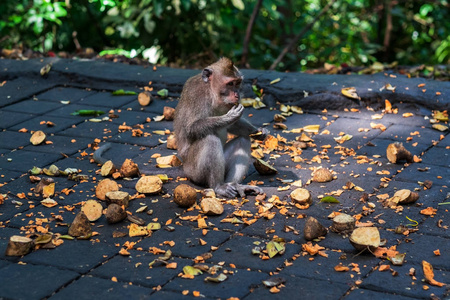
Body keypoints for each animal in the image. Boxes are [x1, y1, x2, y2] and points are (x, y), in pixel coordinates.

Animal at [174, 57, 268, 198]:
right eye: (230, 84)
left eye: (237, 83)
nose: (237, 94)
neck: (211, 93)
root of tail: (184, 167)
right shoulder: (196, 95)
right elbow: (191, 128)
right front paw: (228, 117)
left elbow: (234, 126)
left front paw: (259, 132)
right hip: (194, 171)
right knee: (210, 139)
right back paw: (218, 186)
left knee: (243, 140)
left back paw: (235, 185)